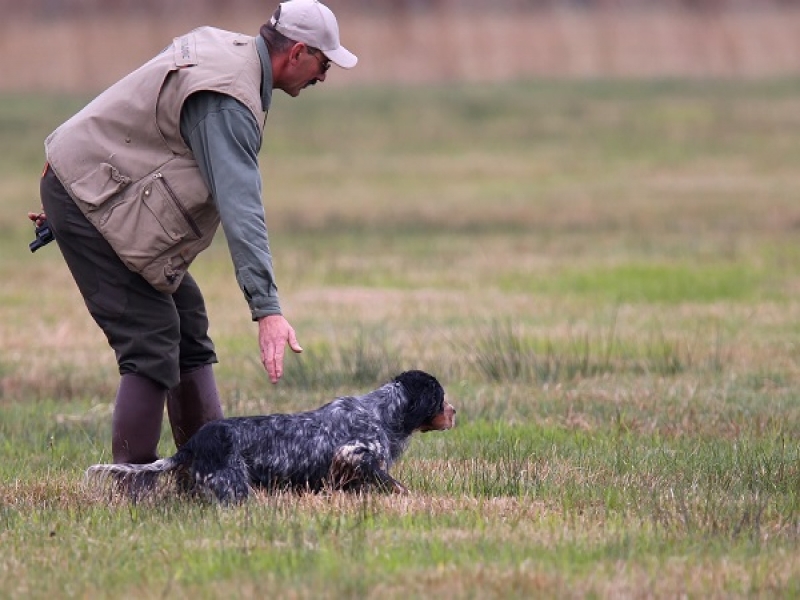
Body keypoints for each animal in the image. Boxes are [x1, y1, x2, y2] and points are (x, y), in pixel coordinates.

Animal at [86, 370, 456, 502]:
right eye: (440, 397)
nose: (455, 412)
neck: (383, 413)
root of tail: (195, 443)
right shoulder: (355, 452)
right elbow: (394, 483)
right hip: (234, 487)